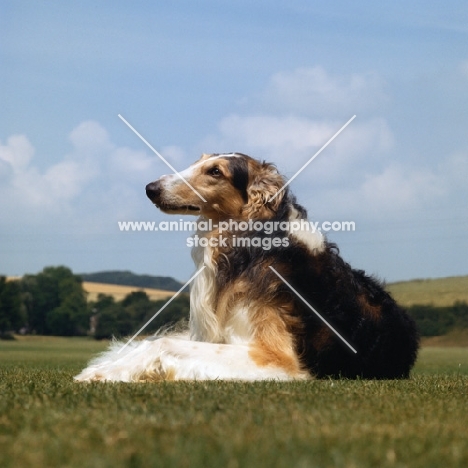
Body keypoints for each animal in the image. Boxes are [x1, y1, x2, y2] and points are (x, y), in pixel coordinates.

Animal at [75, 153, 418, 380]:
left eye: (215, 171)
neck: (250, 241)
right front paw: (104, 369)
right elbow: (156, 342)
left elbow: (162, 344)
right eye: (200, 160)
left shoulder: (273, 357)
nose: (151, 188)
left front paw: (102, 375)